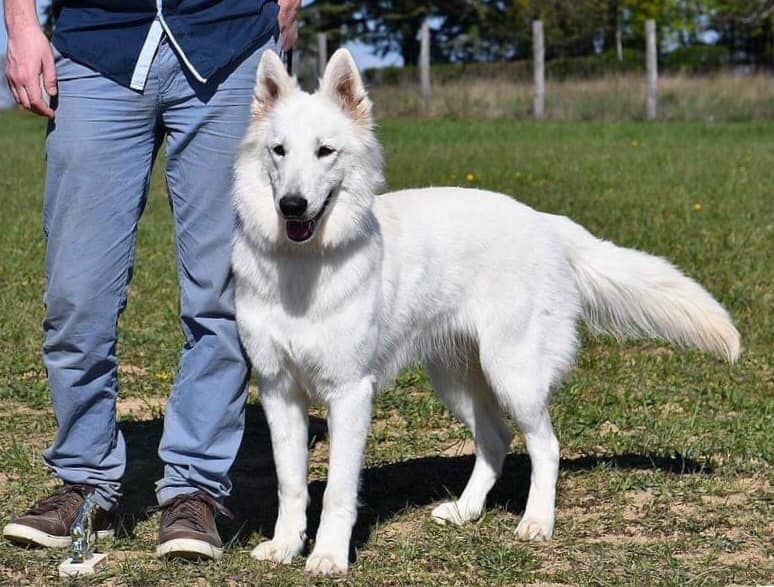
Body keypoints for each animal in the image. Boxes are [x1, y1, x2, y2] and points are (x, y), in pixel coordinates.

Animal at [233, 49, 744, 576]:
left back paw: (537, 522)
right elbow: (290, 483)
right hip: (456, 379)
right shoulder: (279, 391)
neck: (302, 267)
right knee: (495, 441)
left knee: (545, 447)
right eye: (279, 151)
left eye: (325, 151)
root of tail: (544, 221)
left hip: (513, 375)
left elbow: (337, 490)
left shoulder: (350, 394)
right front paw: (286, 546)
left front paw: (329, 556)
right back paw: (467, 510)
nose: (292, 206)